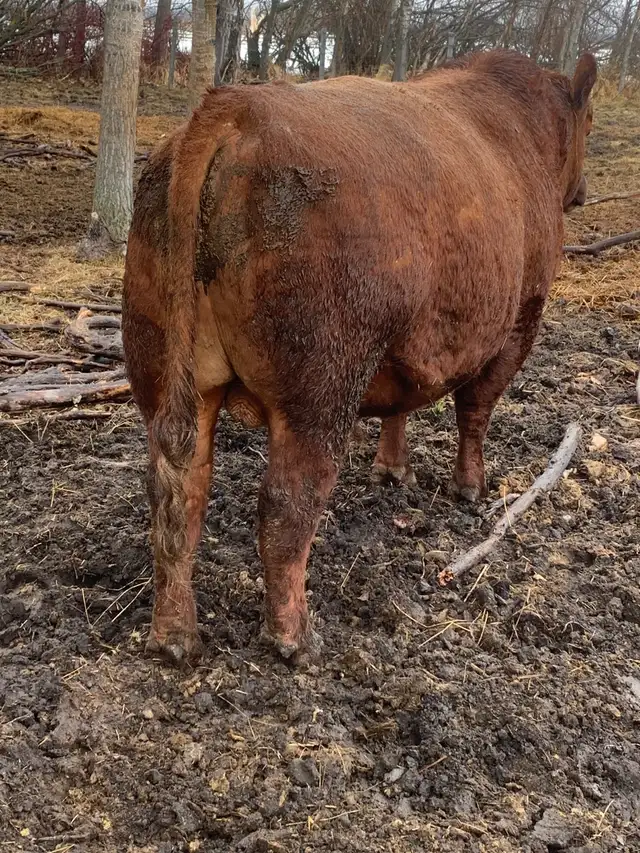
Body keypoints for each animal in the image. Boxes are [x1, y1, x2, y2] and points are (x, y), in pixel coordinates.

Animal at [122, 49, 596, 664]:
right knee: (287, 502)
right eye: (589, 124)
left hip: (168, 372)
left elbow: (403, 403)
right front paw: (470, 486)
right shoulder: (518, 321)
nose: (581, 191)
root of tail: (235, 108)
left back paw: (175, 636)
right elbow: (476, 409)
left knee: (176, 489)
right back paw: (294, 638)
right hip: (320, 388)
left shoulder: (406, 346)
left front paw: (392, 469)